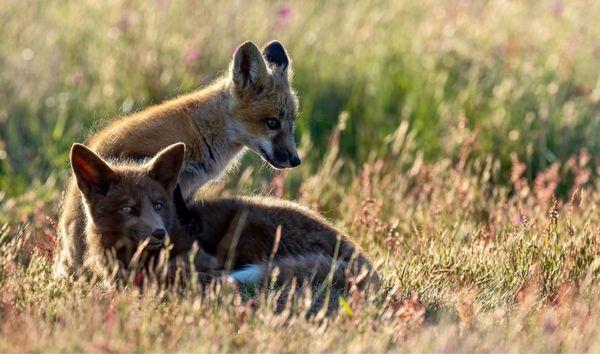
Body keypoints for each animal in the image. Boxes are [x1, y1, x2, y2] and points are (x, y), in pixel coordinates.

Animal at [70, 142, 378, 290]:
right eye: (128, 209)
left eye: (158, 206)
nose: (159, 233)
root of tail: (361, 257)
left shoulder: (202, 255)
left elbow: (176, 267)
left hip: (244, 224)